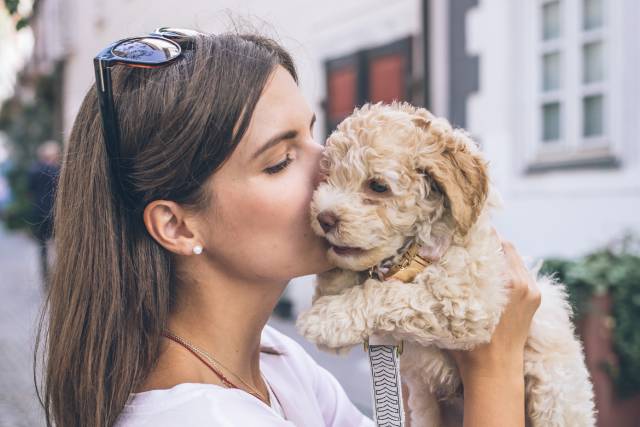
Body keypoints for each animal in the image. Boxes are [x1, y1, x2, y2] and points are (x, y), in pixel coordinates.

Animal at [298, 102, 596, 426]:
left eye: (377, 186)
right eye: (327, 176)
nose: (324, 218)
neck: (412, 252)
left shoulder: (467, 303)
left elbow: (389, 294)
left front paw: (325, 317)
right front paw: (332, 284)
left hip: (555, 399)